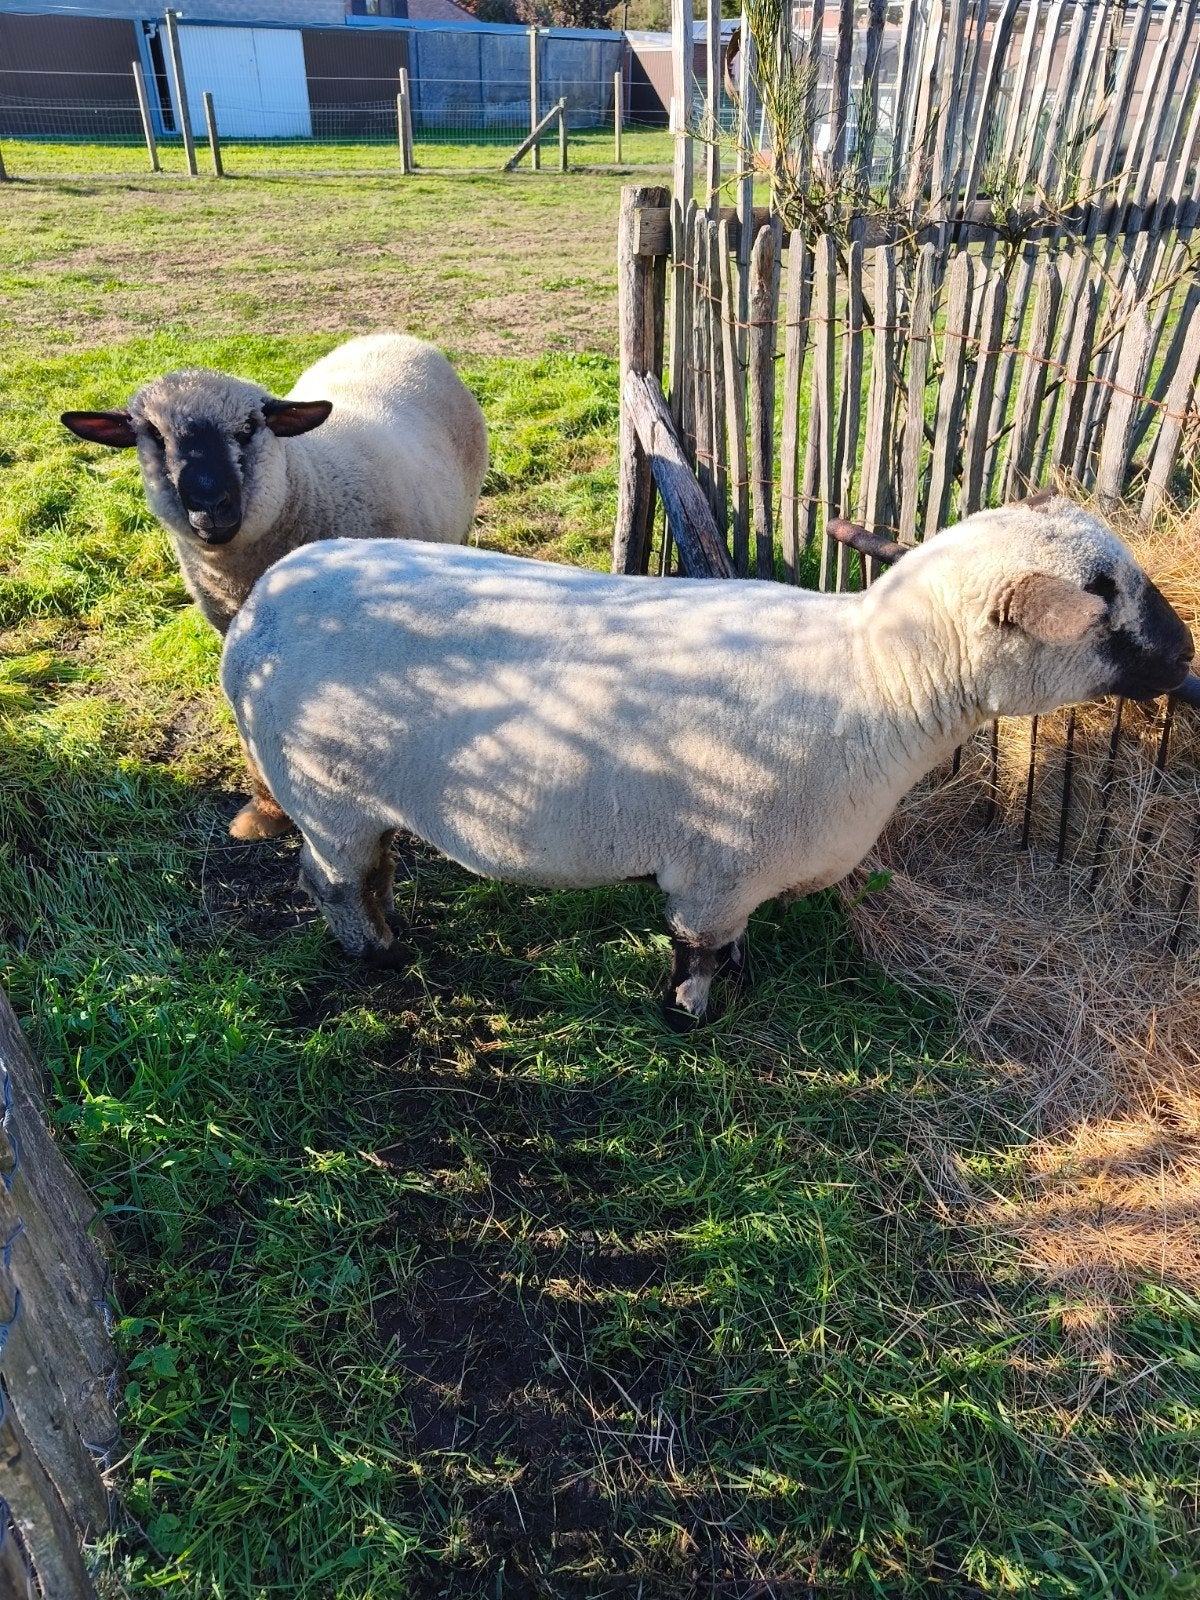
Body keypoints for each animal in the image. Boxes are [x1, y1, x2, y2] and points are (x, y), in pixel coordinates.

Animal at [219, 497, 1195, 1028]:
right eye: (1105, 598)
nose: (1187, 656)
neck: (876, 678)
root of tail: (255, 612)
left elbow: (731, 946)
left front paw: (738, 978)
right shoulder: (719, 867)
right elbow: (696, 951)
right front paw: (689, 1017)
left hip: (350, 798)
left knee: (372, 866)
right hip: (327, 793)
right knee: (333, 880)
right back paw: (377, 954)